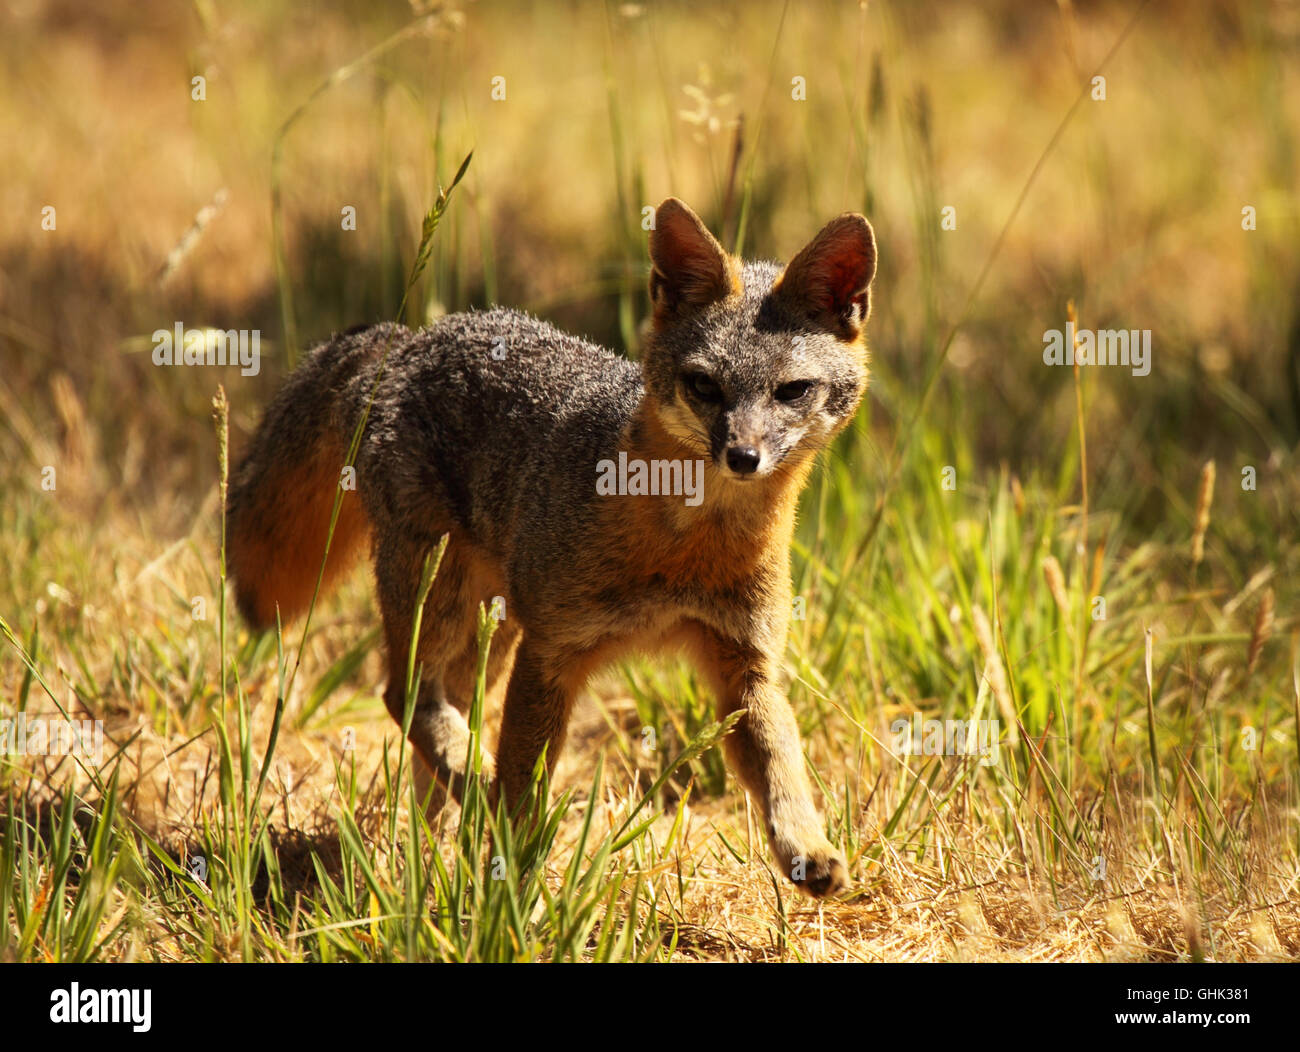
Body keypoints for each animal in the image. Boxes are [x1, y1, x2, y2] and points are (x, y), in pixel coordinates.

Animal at [226, 197, 876, 897]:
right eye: (704, 385)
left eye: (791, 391)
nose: (743, 456)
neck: (684, 549)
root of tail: (409, 338)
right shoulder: (552, 653)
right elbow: (521, 791)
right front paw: (511, 883)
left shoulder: (744, 664)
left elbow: (782, 767)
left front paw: (807, 846)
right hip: (442, 600)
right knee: (403, 697)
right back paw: (468, 792)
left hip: (490, 633)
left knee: (434, 722)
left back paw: (433, 841)